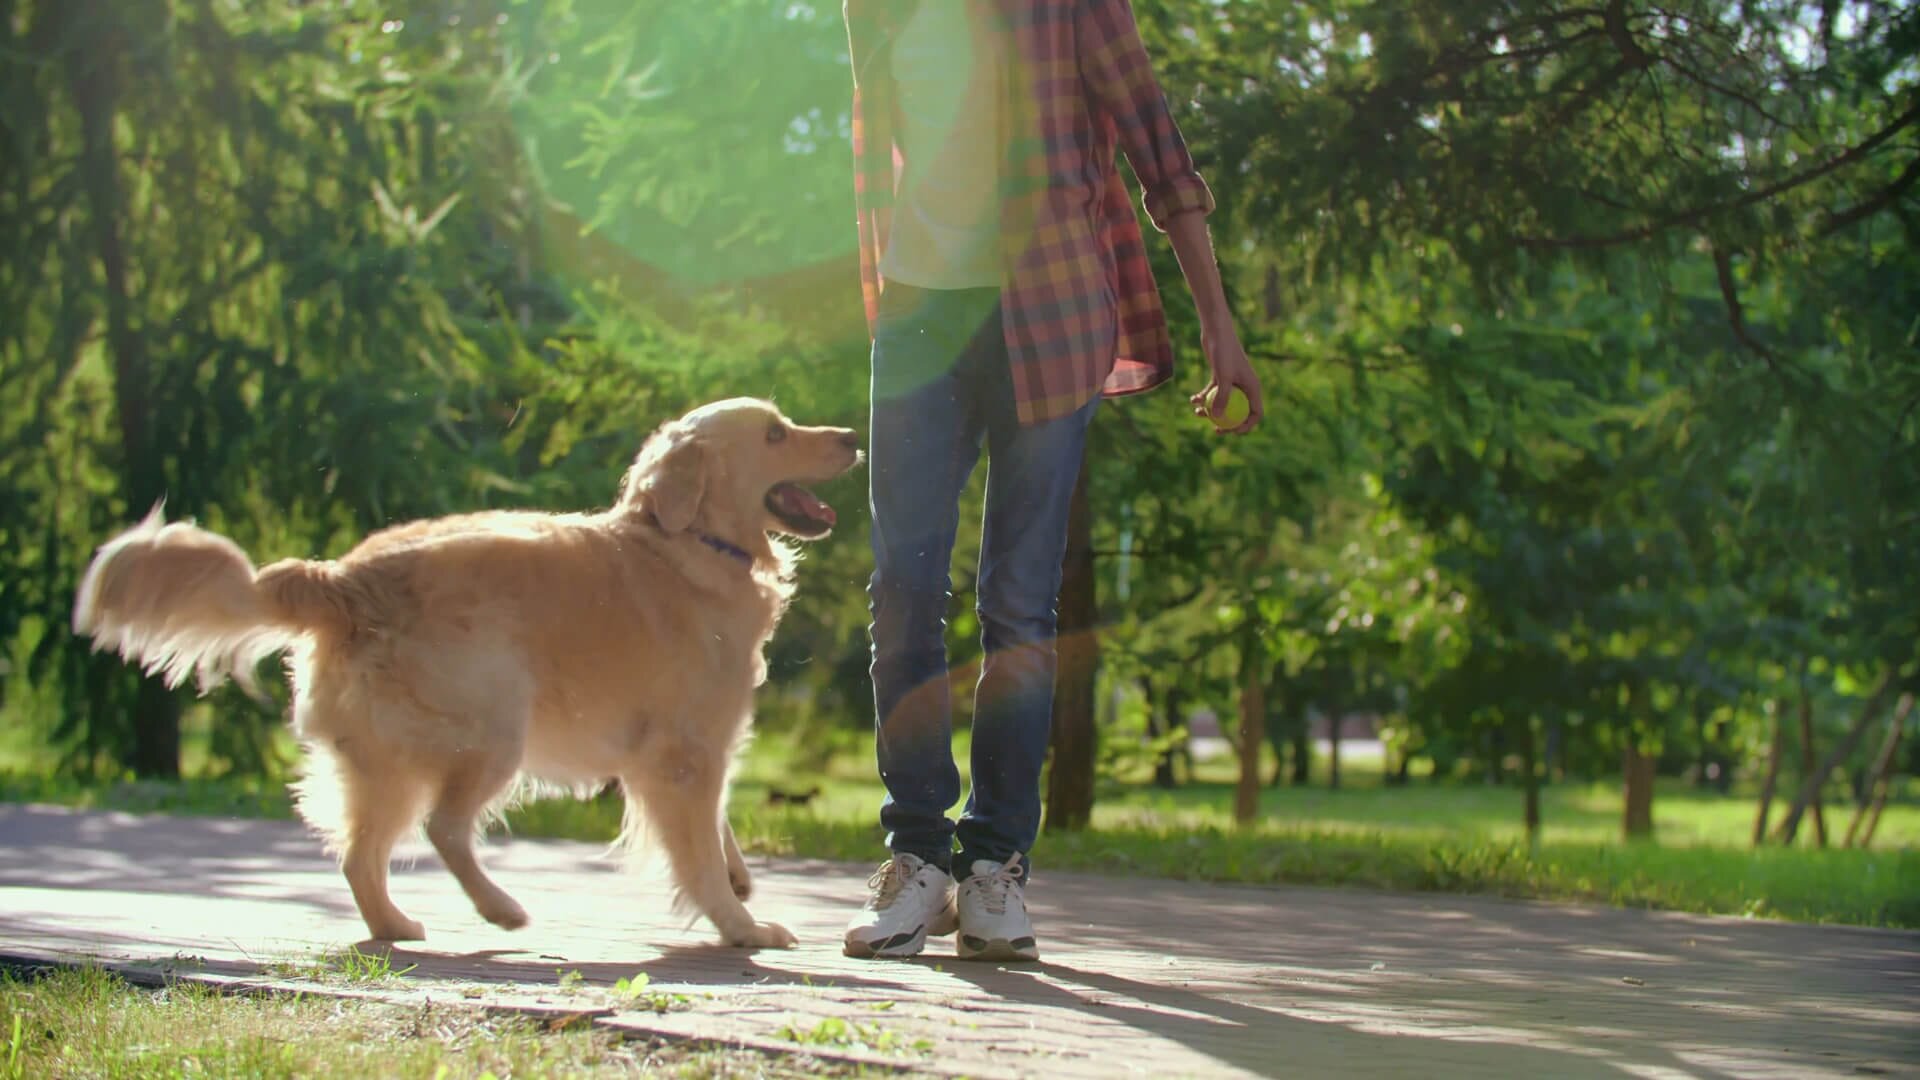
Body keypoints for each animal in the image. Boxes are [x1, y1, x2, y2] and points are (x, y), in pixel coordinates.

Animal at [71, 395, 860, 941]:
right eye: (774, 433)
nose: (853, 437)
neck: (687, 542)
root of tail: (342, 579)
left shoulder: (692, 752)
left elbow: (718, 831)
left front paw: (741, 881)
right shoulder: (685, 755)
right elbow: (695, 849)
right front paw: (741, 927)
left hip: (384, 760)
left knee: (361, 854)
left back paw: (395, 926)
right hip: (493, 728)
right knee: (444, 828)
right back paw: (501, 908)